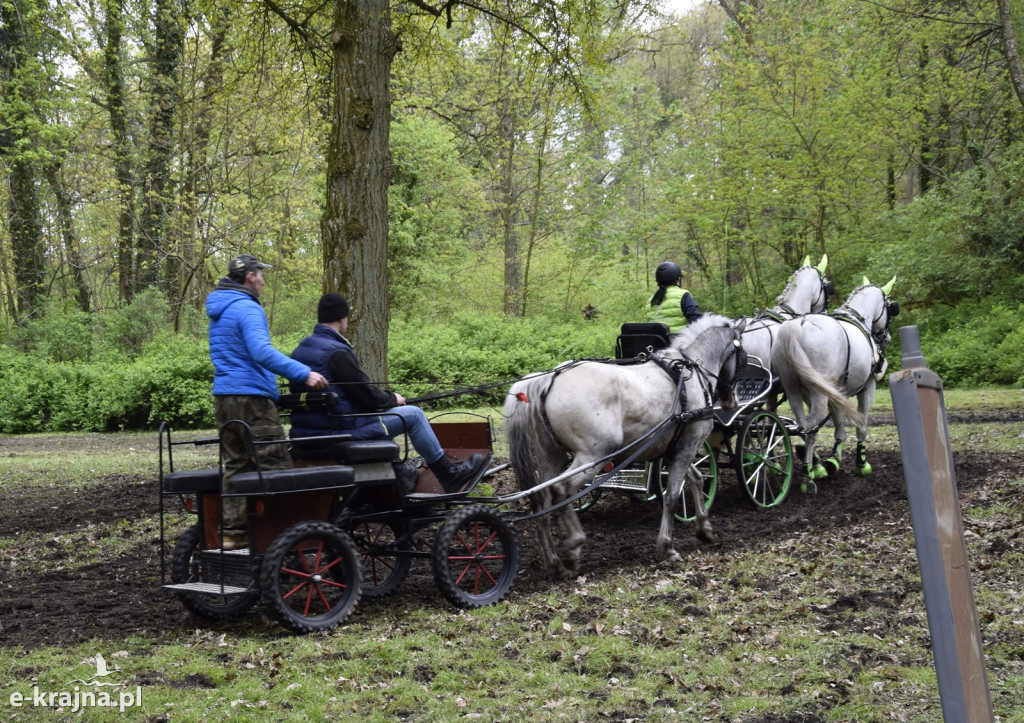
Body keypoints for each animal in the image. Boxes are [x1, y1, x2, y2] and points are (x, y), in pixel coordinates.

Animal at [501, 313, 745, 577]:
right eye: (743, 358)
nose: (733, 402)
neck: (689, 374)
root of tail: (551, 378)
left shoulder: (675, 448)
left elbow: (697, 479)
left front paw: (704, 528)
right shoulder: (688, 446)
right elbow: (672, 495)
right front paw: (667, 547)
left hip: (551, 454)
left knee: (544, 499)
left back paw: (554, 564)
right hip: (594, 455)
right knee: (562, 490)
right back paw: (574, 544)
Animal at [774, 278, 897, 487]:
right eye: (890, 308)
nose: (886, 337)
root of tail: (797, 326)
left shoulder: (836, 392)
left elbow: (839, 424)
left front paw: (833, 460)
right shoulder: (868, 387)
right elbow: (861, 425)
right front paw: (861, 463)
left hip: (793, 390)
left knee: (803, 427)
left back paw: (812, 467)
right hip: (818, 394)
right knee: (811, 430)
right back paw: (807, 476)